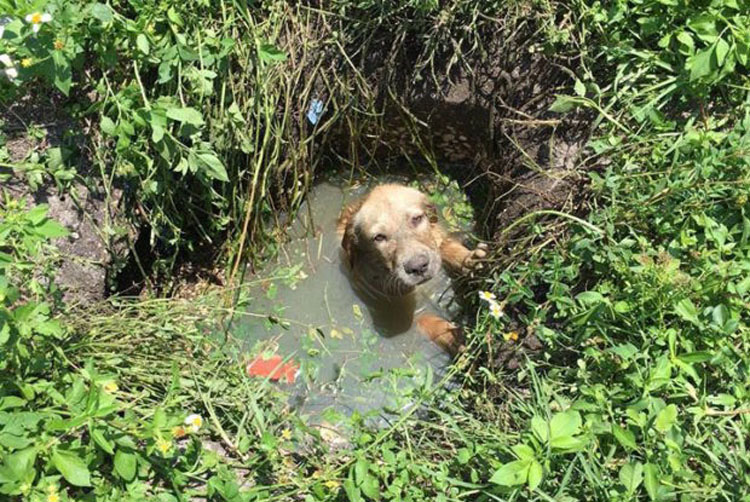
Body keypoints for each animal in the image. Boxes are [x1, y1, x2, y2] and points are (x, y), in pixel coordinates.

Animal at [340, 182, 488, 354]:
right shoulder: (396, 306)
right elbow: (425, 319)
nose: (418, 267)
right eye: (379, 237)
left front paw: (469, 260)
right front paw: (453, 336)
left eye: (417, 219)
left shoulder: (437, 238)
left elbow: (446, 247)